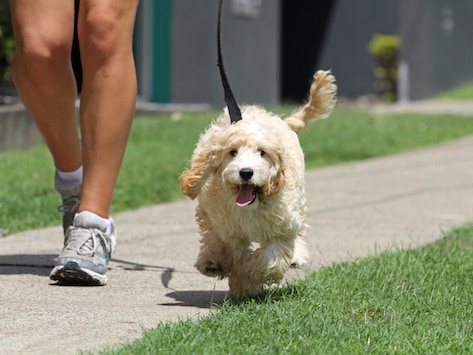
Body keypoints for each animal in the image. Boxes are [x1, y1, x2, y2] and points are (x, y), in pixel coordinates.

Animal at [179, 70, 338, 300]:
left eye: (262, 152)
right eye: (232, 152)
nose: (246, 172)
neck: (251, 206)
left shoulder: (282, 227)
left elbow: (270, 259)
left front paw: (249, 276)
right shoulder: (229, 229)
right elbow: (230, 249)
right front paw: (239, 281)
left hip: (298, 200)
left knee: (299, 229)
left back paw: (297, 256)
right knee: (211, 234)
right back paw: (211, 261)